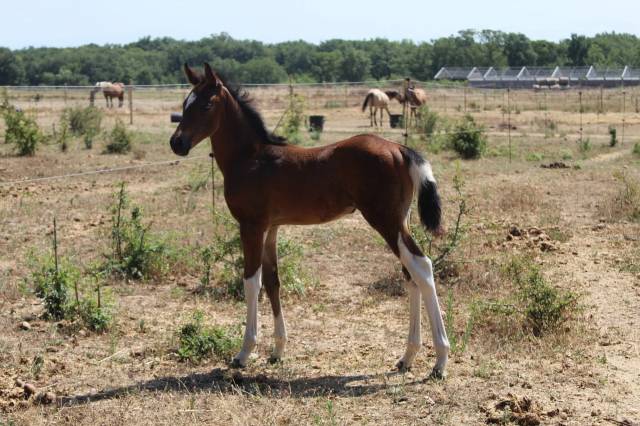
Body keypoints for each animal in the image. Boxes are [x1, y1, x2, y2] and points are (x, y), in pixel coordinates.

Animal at [170, 63, 451, 379]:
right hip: (400, 222)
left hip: (386, 221)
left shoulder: (251, 225)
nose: (177, 143)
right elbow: (273, 280)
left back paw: (440, 361)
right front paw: (277, 351)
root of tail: (401, 150)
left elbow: (251, 282)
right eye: (185, 104)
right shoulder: (271, 228)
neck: (251, 158)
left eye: (205, 105)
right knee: (410, 274)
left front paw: (244, 353)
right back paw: (407, 357)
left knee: (422, 267)